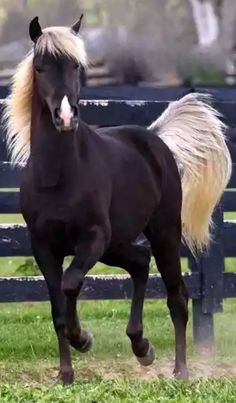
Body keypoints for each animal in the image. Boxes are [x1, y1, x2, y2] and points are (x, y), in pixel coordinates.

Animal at [3, 17, 232, 386]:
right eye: (40, 67)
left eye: (76, 66)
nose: (65, 117)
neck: (58, 176)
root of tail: (155, 139)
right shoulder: (43, 246)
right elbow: (57, 308)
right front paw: (66, 374)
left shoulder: (92, 238)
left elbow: (70, 284)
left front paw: (83, 339)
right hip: (117, 245)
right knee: (139, 262)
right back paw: (142, 347)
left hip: (163, 234)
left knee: (177, 297)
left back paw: (180, 370)